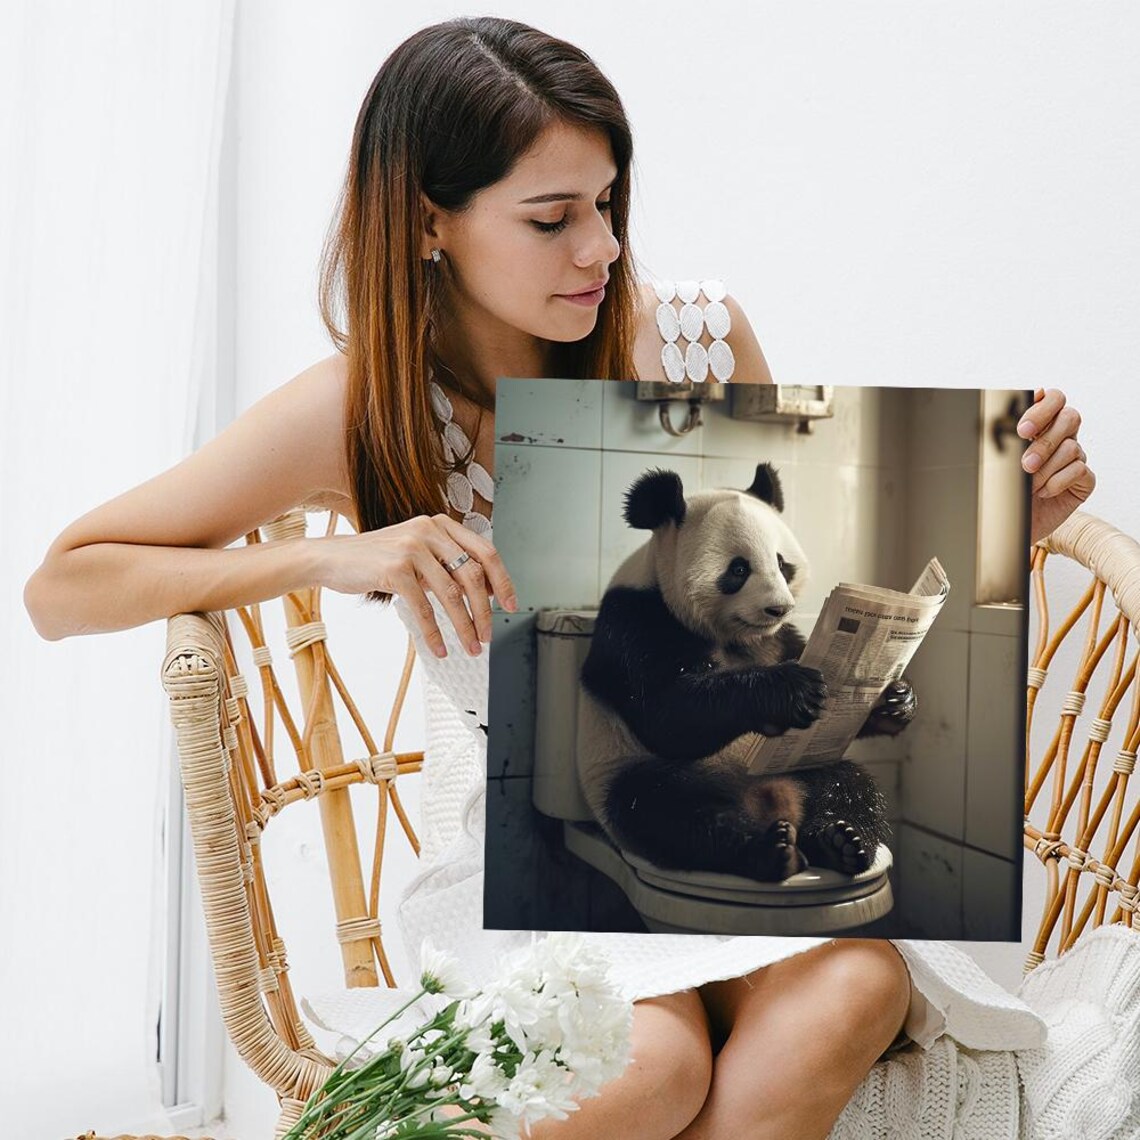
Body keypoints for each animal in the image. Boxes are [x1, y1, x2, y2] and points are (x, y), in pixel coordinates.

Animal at [576, 462, 915, 882]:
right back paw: (769, 852)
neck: (734, 635)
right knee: (669, 813)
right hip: (628, 772)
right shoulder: (635, 620)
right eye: (738, 569)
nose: (779, 608)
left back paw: (843, 842)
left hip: (804, 765)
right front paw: (791, 688)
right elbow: (665, 713)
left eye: (782, 564)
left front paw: (895, 699)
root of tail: (773, 801)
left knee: (850, 785)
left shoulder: (780, 638)